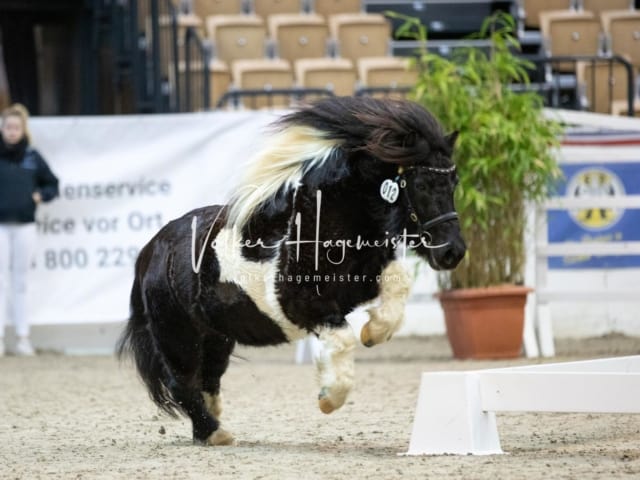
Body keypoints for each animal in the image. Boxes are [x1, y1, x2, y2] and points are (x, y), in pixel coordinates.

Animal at [116, 96, 464, 446]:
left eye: (454, 182)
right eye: (421, 184)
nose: (453, 252)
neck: (323, 222)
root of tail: (152, 250)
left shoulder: (362, 282)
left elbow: (398, 283)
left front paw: (374, 332)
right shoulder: (307, 307)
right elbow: (343, 340)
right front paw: (329, 397)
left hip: (216, 336)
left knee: (207, 380)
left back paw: (210, 428)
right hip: (177, 335)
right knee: (182, 383)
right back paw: (213, 432)